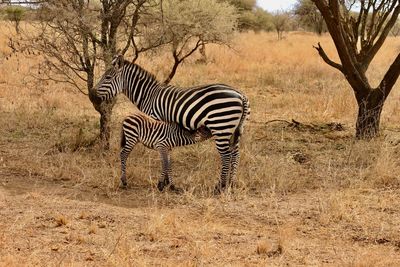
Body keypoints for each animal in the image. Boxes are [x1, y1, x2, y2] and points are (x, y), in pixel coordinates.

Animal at [95, 55, 248, 194]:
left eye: (107, 77)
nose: (93, 95)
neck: (149, 96)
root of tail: (241, 95)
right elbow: (168, 153)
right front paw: (168, 183)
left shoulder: (156, 121)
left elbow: (165, 155)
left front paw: (164, 183)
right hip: (234, 129)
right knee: (235, 154)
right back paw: (231, 184)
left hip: (220, 125)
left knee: (226, 156)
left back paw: (220, 187)